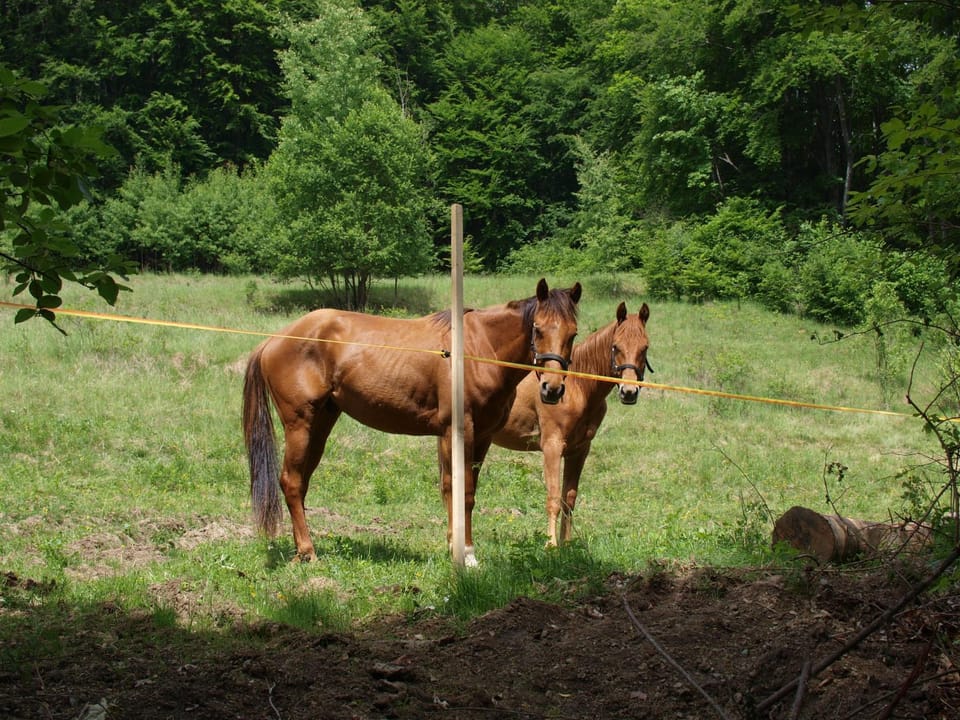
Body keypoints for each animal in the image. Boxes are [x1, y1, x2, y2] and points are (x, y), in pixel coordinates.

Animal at [242, 279, 581, 565]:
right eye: (537, 329)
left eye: (573, 333)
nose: (552, 389)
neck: (478, 349)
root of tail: (273, 341)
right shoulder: (457, 432)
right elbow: (459, 490)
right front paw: (464, 554)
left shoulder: (482, 436)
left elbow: (463, 491)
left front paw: (458, 548)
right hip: (299, 425)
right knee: (291, 482)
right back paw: (308, 551)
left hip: (321, 424)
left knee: (300, 483)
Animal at [492, 301, 651, 547]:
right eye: (615, 347)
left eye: (644, 348)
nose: (629, 392)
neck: (578, 388)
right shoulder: (552, 447)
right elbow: (553, 497)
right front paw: (551, 545)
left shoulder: (579, 451)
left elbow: (569, 498)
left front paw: (566, 543)